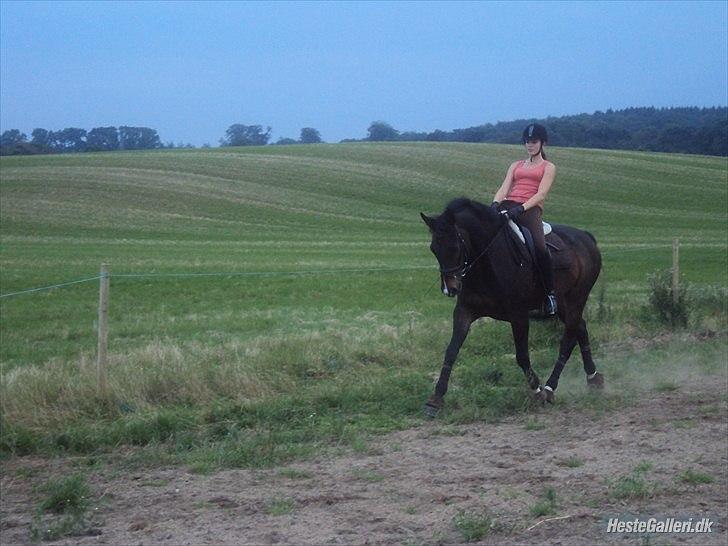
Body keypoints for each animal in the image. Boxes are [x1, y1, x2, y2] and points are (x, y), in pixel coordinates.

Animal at [420, 198, 604, 414]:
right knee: (581, 329)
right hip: (565, 306)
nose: (449, 289)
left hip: (576, 300)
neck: (487, 262)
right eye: (434, 249)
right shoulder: (464, 311)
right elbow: (451, 351)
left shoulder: (519, 316)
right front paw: (436, 399)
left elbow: (522, 356)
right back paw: (594, 378)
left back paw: (549, 389)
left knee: (567, 341)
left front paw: (537, 391)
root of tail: (586, 237)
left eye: (456, 246)